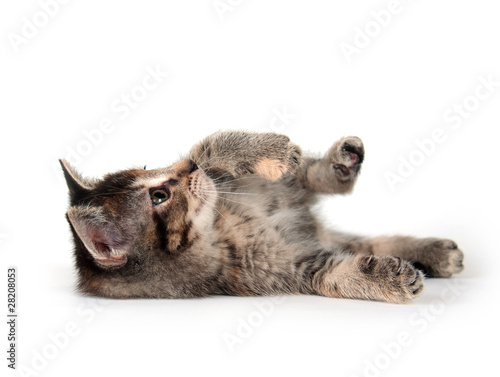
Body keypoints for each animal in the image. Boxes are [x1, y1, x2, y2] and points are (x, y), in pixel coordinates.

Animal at [61, 130, 464, 302]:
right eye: (159, 197)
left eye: (149, 168)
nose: (188, 166)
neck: (217, 229)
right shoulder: (293, 268)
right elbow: (339, 273)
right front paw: (390, 278)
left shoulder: (225, 177)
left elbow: (214, 142)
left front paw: (274, 148)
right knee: (364, 244)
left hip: (287, 191)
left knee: (312, 177)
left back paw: (343, 162)